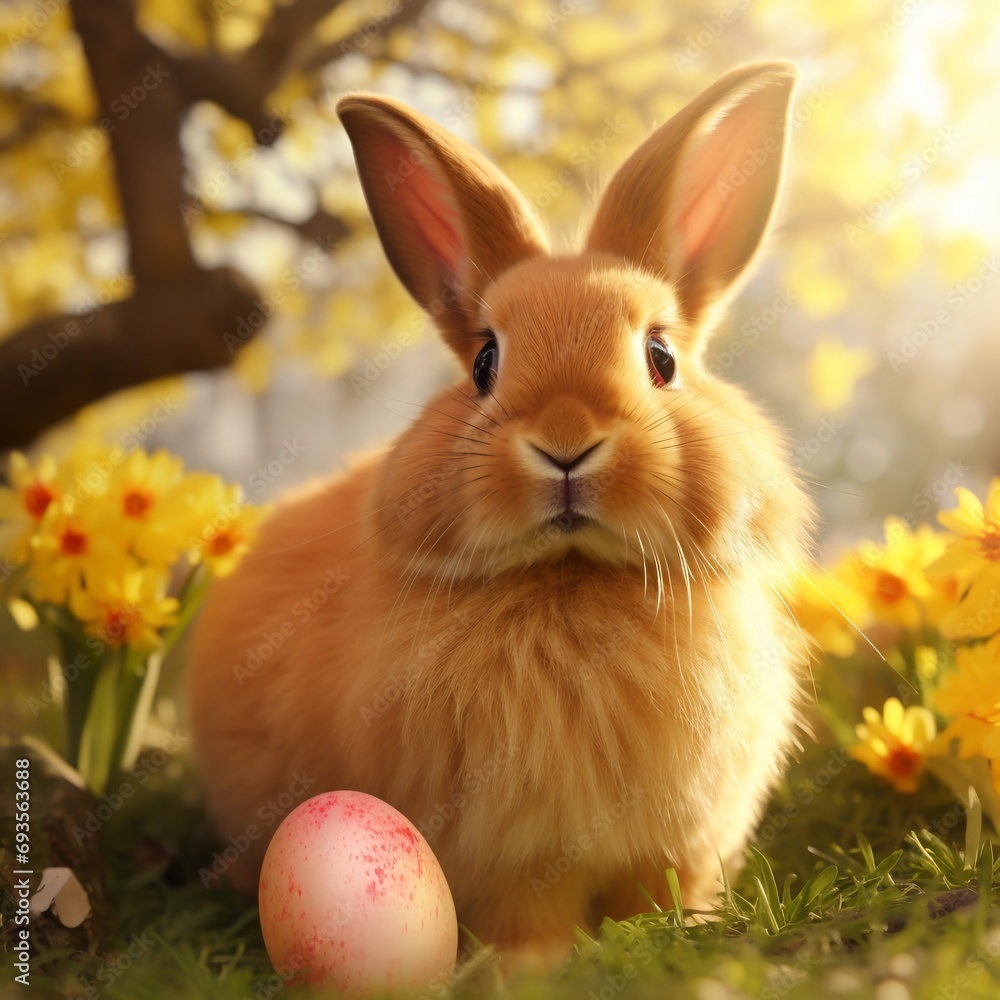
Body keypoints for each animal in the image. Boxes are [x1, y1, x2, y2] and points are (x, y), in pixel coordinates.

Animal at [187, 61, 814, 960]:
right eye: (485, 361)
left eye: (661, 357)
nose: (566, 442)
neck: (572, 575)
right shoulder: (510, 856)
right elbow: (526, 913)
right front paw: (533, 965)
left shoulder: (684, 841)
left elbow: (666, 890)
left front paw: (677, 933)